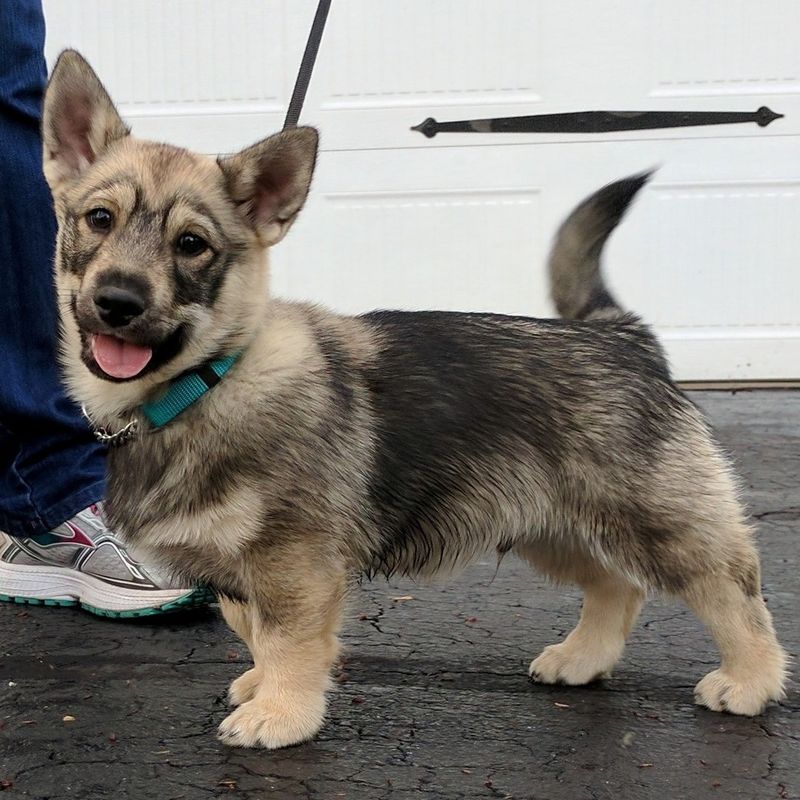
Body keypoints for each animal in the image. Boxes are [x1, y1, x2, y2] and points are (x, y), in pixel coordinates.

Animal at [43, 51, 788, 752]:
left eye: (192, 245)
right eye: (99, 219)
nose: (117, 301)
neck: (210, 379)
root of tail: (620, 334)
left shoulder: (293, 561)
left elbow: (286, 637)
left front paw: (281, 712)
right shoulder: (244, 568)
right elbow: (247, 624)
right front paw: (263, 685)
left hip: (656, 522)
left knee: (732, 589)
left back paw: (750, 680)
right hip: (549, 523)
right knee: (617, 585)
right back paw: (583, 657)